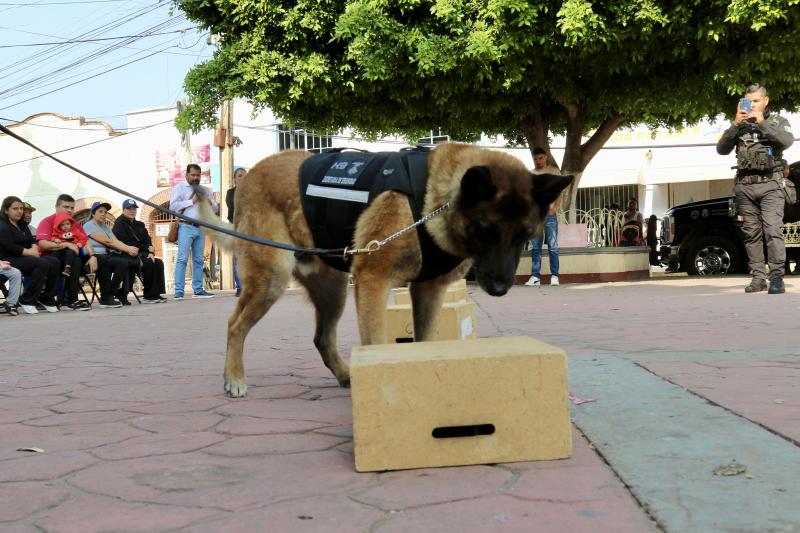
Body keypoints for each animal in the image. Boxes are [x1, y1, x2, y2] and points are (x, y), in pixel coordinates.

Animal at [198, 143, 572, 397]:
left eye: (525, 235)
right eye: (485, 230)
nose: (498, 289)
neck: (431, 201)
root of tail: (249, 177)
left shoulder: (428, 291)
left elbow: (425, 341)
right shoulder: (373, 283)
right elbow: (377, 344)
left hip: (334, 291)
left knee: (322, 338)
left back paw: (346, 375)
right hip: (272, 279)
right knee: (235, 325)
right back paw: (234, 377)